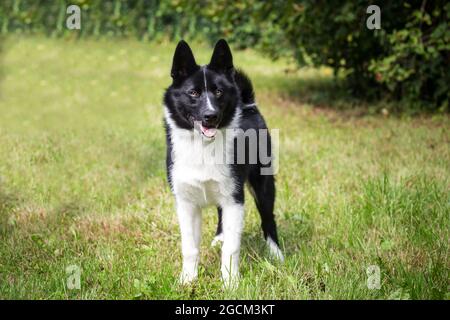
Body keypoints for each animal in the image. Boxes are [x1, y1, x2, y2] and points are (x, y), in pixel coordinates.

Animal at [163, 39, 282, 288]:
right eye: (193, 92)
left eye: (218, 92)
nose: (211, 116)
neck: (203, 147)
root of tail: (249, 106)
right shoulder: (186, 203)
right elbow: (189, 247)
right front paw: (187, 280)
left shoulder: (235, 199)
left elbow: (232, 248)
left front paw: (230, 283)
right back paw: (219, 238)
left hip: (263, 184)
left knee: (268, 218)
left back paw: (276, 253)